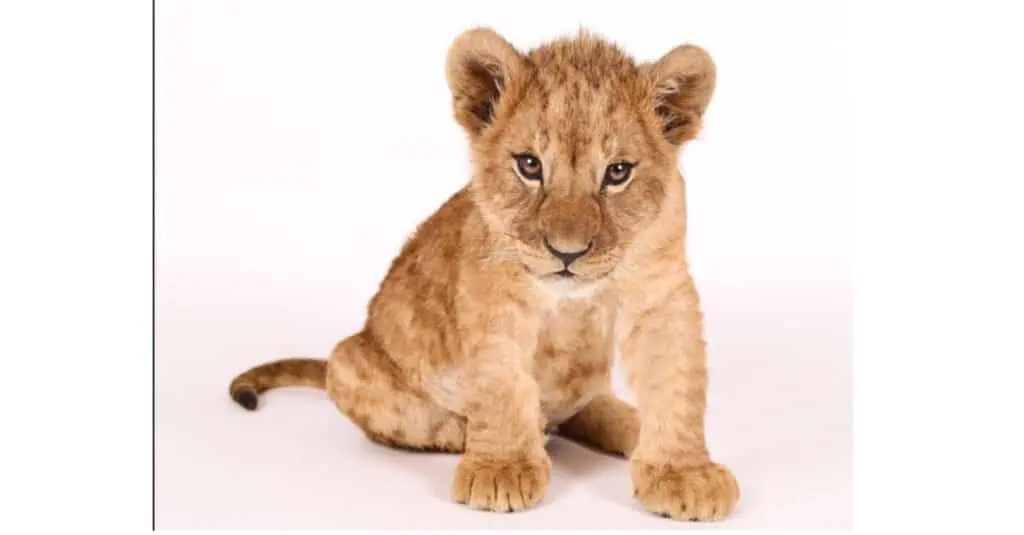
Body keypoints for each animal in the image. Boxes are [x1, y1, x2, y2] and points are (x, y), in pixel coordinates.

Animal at [228, 27, 739, 521]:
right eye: (529, 165)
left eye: (617, 173)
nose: (567, 252)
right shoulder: (492, 291)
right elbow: (501, 381)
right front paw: (502, 469)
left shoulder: (662, 291)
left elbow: (676, 382)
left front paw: (685, 473)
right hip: (347, 359)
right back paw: (473, 431)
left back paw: (627, 424)